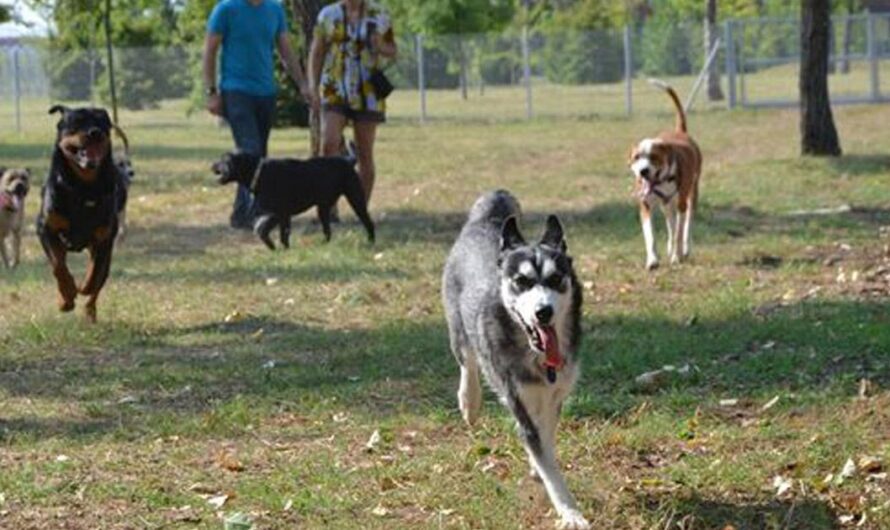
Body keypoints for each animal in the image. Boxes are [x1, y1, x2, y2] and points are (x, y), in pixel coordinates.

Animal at [36, 102, 128, 318]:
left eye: (102, 122)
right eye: (76, 121)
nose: (95, 133)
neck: (83, 187)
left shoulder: (104, 238)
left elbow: (95, 273)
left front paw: (84, 286)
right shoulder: (45, 228)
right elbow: (58, 266)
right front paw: (67, 295)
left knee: (100, 279)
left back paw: (89, 311)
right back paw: (65, 299)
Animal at [214, 151, 374, 250]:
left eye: (223, 160)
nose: (212, 166)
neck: (259, 173)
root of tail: (348, 160)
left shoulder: (281, 213)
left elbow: (274, 233)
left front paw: (281, 250)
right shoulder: (279, 215)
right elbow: (266, 232)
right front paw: (275, 249)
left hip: (356, 200)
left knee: (368, 222)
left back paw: (371, 241)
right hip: (322, 208)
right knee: (327, 231)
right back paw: (323, 244)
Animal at [628, 80, 696, 270]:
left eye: (653, 157)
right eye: (637, 157)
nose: (643, 171)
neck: (662, 181)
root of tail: (680, 131)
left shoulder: (681, 203)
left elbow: (680, 231)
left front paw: (676, 257)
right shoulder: (645, 205)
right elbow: (650, 235)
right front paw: (652, 260)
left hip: (691, 195)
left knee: (686, 223)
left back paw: (684, 249)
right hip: (666, 205)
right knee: (670, 225)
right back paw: (670, 247)